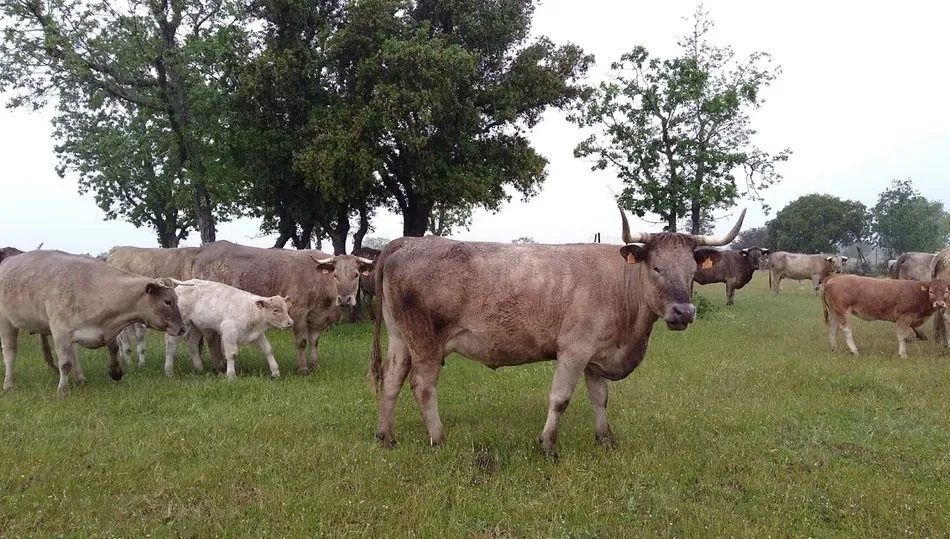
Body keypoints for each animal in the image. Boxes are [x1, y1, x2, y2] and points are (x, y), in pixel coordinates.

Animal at [0, 250, 186, 395]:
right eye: (167, 301)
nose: (182, 328)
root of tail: (7, 262)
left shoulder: (106, 330)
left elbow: (114, 349)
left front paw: (115, 371)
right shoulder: (60, 331)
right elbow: (65, 363)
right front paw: (63, 389)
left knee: (74, 353)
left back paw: (80, 377)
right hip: (6, 321)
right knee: (10, 352)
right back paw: (8, 384)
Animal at [162, 279, 293, 379]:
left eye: (286, 309)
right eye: (276, 310)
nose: (290, 323)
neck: (251, 311)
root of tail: (184, 283)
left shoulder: (258, 334)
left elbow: (268, 350)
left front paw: (275, 372)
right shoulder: (229, 332)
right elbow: (232, 354)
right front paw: (231, 375)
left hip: (196, 326)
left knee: (192, 345)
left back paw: (199, 369)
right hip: (181, 323)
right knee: (170, 344)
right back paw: (168, 371)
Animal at [192, 241, 373, 374]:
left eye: (356, 274)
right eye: (335, 275)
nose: (344, 299)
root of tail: (205, 248)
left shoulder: (316, 318)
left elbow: (314, 342)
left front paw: (315, 365)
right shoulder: (298, 314)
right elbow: (302, 342)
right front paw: (303, 368)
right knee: (211, 338)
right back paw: (220, 367)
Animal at [368, 207, 746, 454]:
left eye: (692, 271)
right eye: (656, 268)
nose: (684, 311)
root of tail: (407, 242)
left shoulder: (598, 355)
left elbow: (600, 398)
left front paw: (606, 440)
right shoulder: (574, 350)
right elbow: (560, 398)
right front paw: (548, 445)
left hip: (400, 337)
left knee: (391, 380)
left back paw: (386, 437)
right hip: (426, 340)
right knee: (422, 386)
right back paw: (438, 439)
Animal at [821, 274, 949, 358]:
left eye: (946, 291)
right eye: (931, 291)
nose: (939, 304)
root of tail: (834, 277)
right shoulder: (903, 317)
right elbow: (902, 336)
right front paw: (903, 354)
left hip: (835, 312)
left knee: (833, 330)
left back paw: (835, 350)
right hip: (843, 311)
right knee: (846, 330)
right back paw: (855, 351)